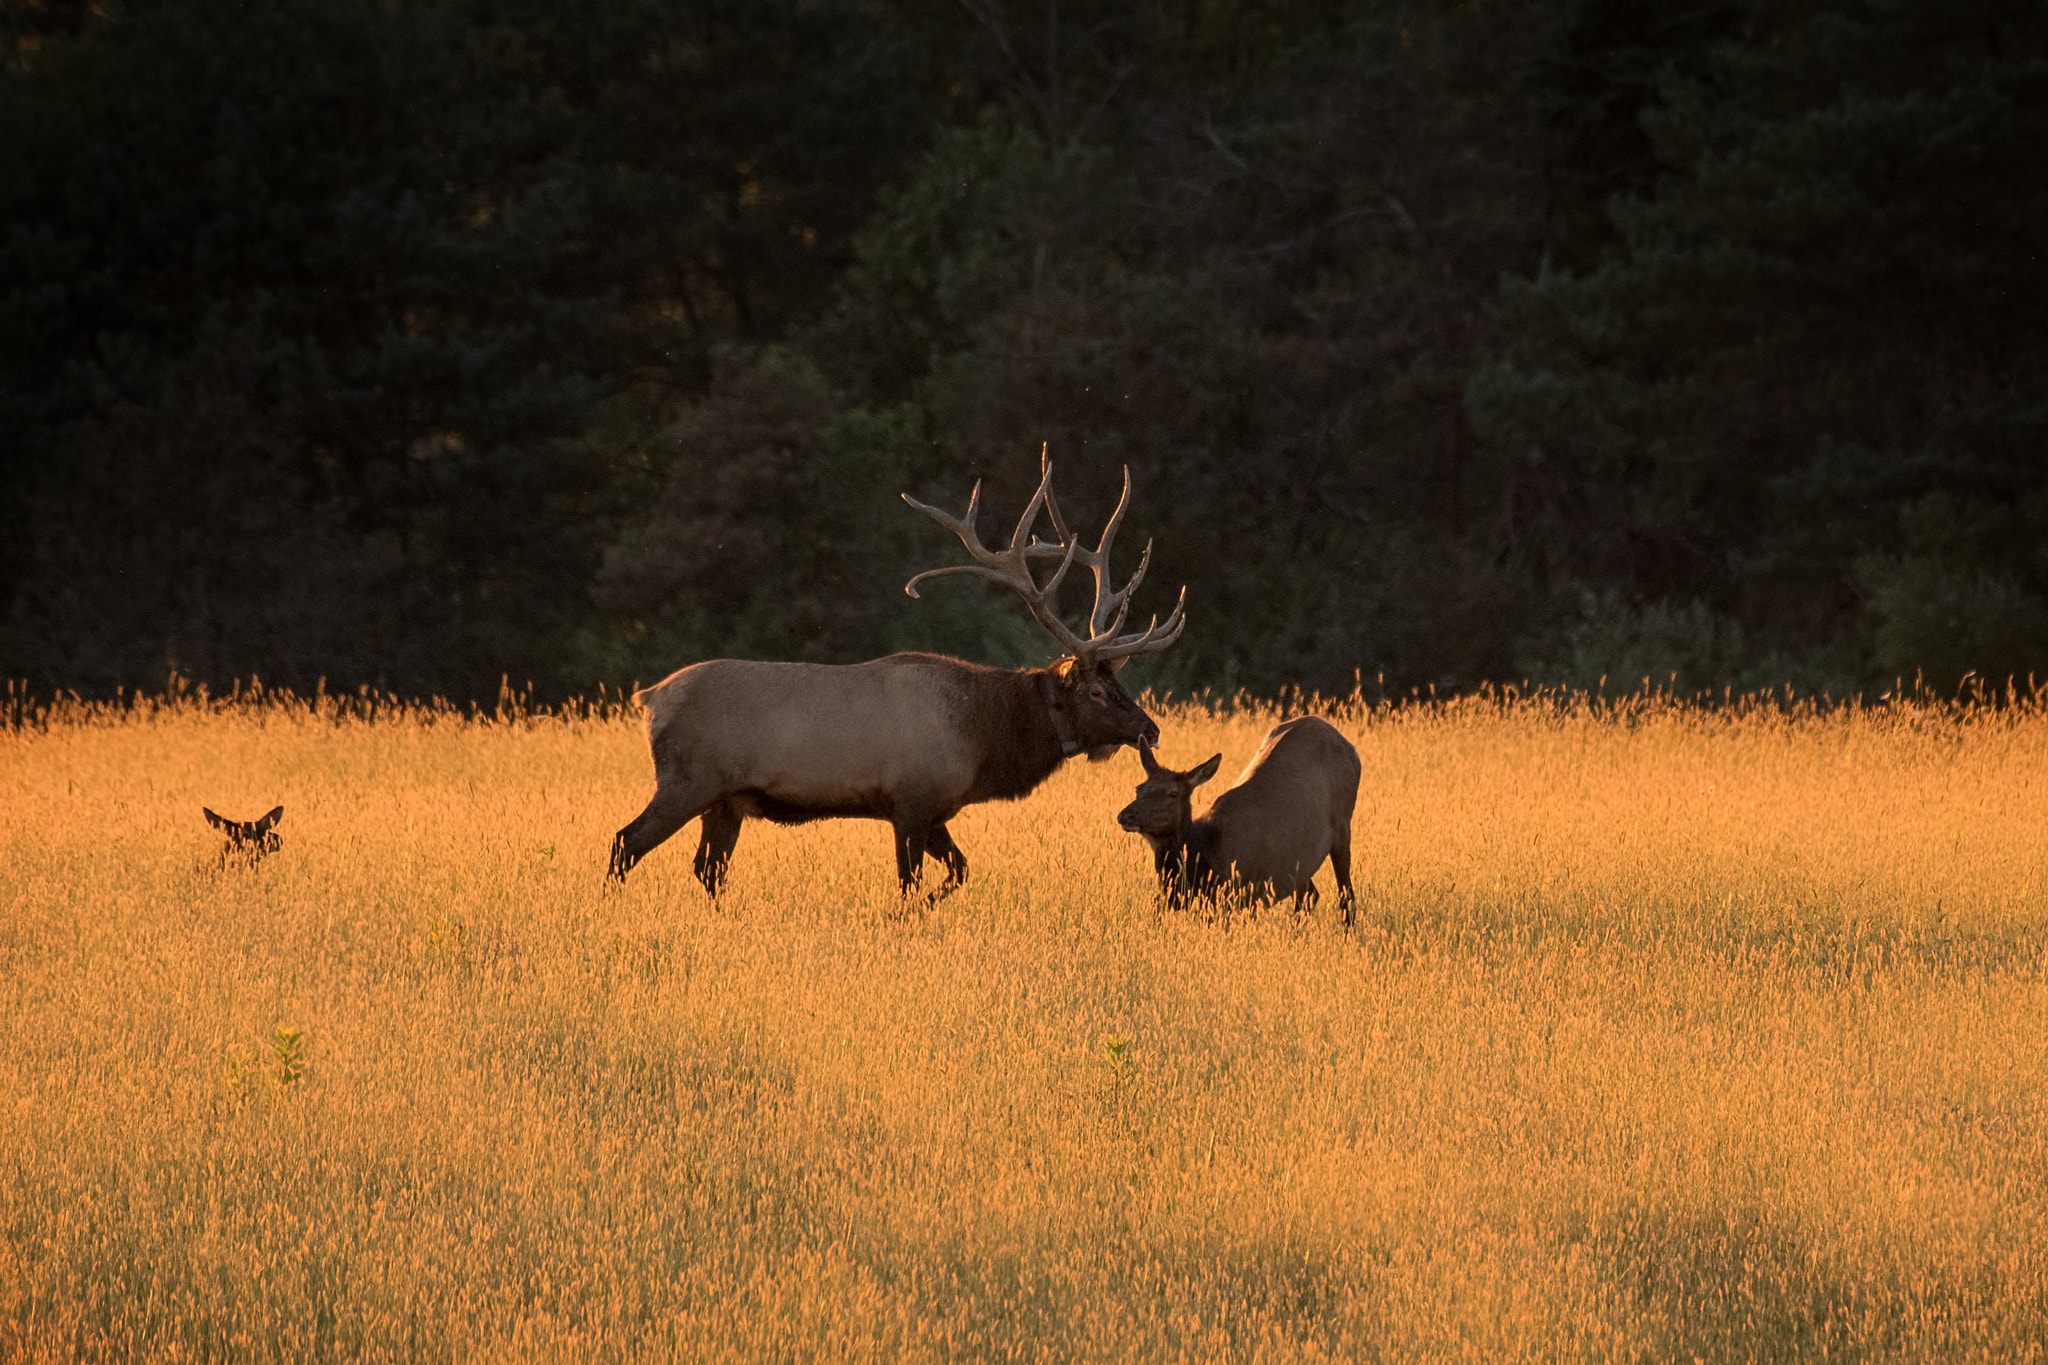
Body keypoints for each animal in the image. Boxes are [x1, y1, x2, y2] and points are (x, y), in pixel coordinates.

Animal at [608, 454, 1186, 899]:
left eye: (1120, 684)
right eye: (1097, 690)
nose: (1151, 729)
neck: (983, 739)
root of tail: (650, 698)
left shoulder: (936, 812)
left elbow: (960, 870)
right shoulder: (910, 800)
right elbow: (910, 883)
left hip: (725, 801)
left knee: (707, 869)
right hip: (688, 780)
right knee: (625, 842)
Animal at [1116, 716, 1360, 923]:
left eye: (1173, 794)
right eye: (1139, 789)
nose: (1125, 815)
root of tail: (1352, 750)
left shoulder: (1241, 892)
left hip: (1342, 825)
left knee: (1346, 895)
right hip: (1298, 860)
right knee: (1309, 894)